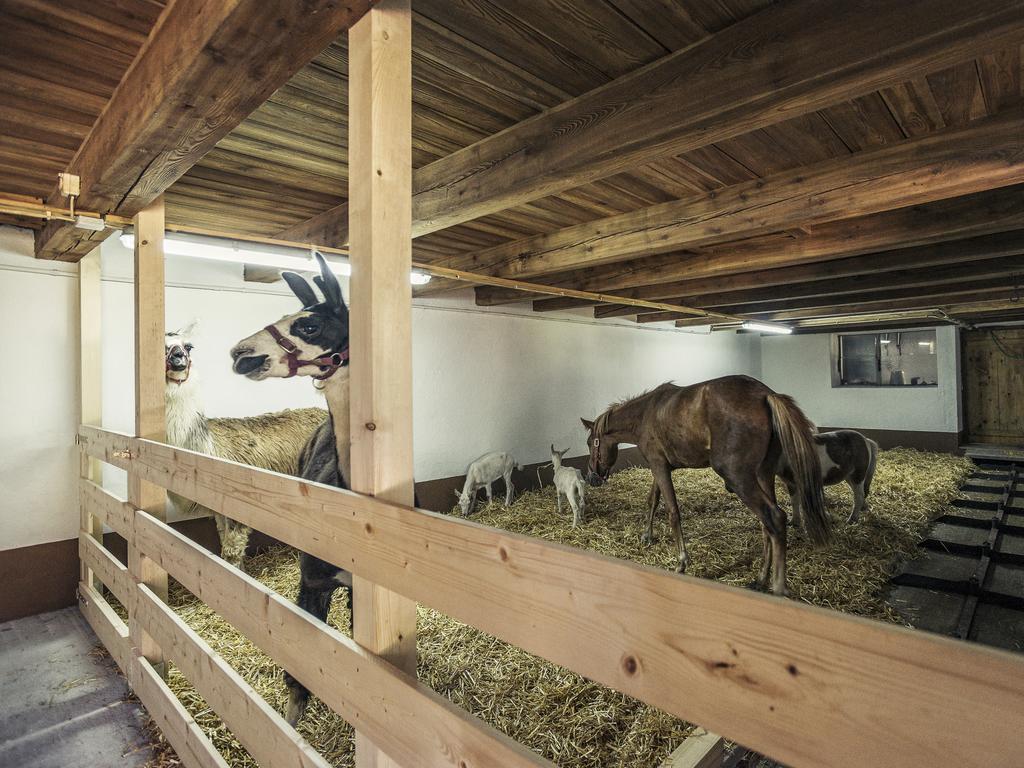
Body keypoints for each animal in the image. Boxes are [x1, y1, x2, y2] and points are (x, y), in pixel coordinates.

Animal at [581, 376, 827, 598]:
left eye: (590, 443)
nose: (592, 477)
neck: (646, 413)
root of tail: (766, 394)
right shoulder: (660, 466)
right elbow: (653, 500)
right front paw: (646, 536)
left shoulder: (659, 466)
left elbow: (672, 512)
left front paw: (681, 561)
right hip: (763, 475)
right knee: (767, 525)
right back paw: (760, 579)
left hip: (739, 477)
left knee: (774, 517)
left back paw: (777, 587)